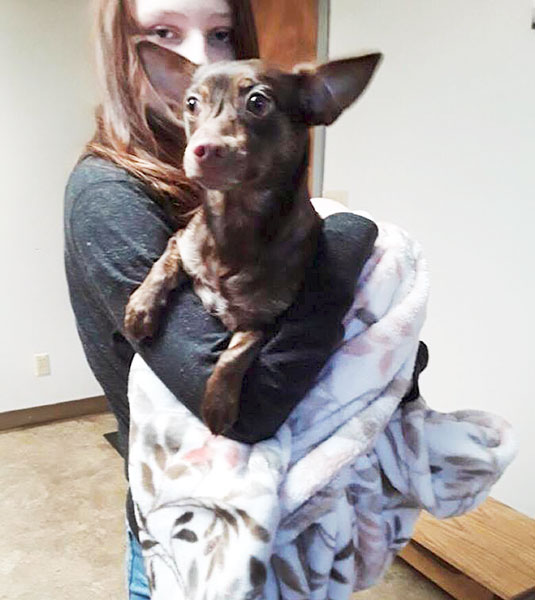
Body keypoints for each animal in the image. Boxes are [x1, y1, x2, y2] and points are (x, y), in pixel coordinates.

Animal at [124, 43, 382, 436]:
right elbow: (163, 264)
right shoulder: (182, 241)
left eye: (258, 102)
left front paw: (218, 403)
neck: (234, 220)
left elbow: (236, 352)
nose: (204, 148)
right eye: (191, 104)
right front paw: (141, 308)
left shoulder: (263, 321)